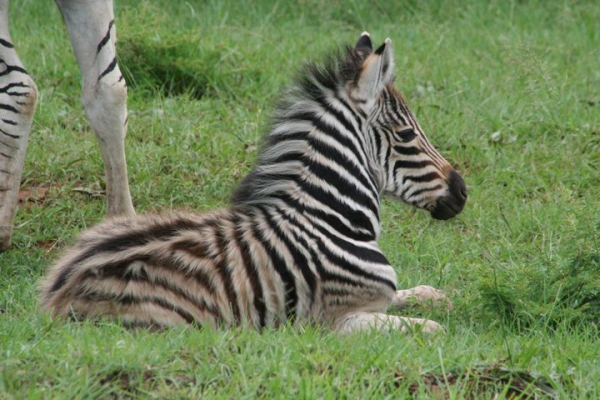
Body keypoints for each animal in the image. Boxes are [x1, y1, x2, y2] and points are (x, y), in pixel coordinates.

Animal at [39, 32, 466, 334]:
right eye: (407, 135)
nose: (462, 192)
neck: (330, 220)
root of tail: (59, 289)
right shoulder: (334, 322)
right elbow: (431, 330)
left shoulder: (378, 300)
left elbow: (416, 296)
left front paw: (435, 295)